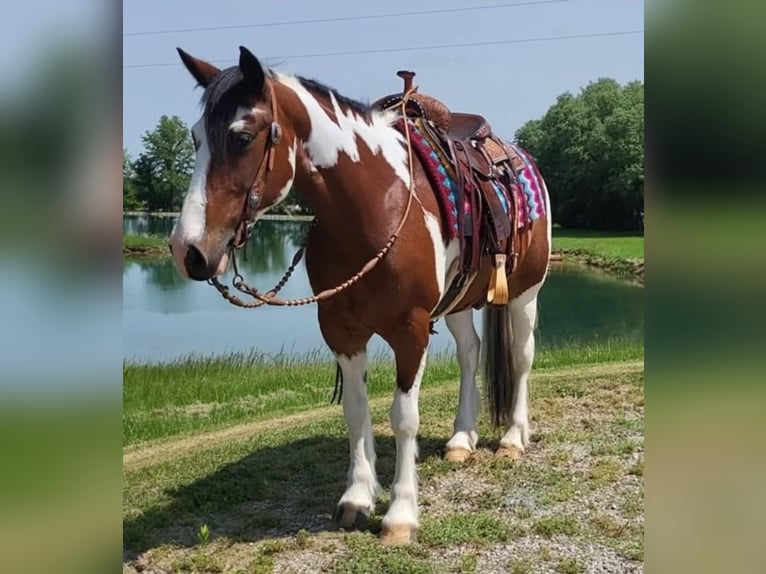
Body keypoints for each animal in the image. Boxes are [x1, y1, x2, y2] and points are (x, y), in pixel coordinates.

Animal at [168, 46, 551, 546]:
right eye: (195, 139)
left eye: (242, 137)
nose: (188, 251)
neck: (372, 204)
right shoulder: (340, 328)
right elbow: (355, 410)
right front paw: (357, 498)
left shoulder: (410, 330)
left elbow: (404, 417)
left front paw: (401, 514)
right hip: (459, 302)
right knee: (470, 353)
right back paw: (461, 440)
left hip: (525, 293)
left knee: (522, 357)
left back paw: (511, 438)